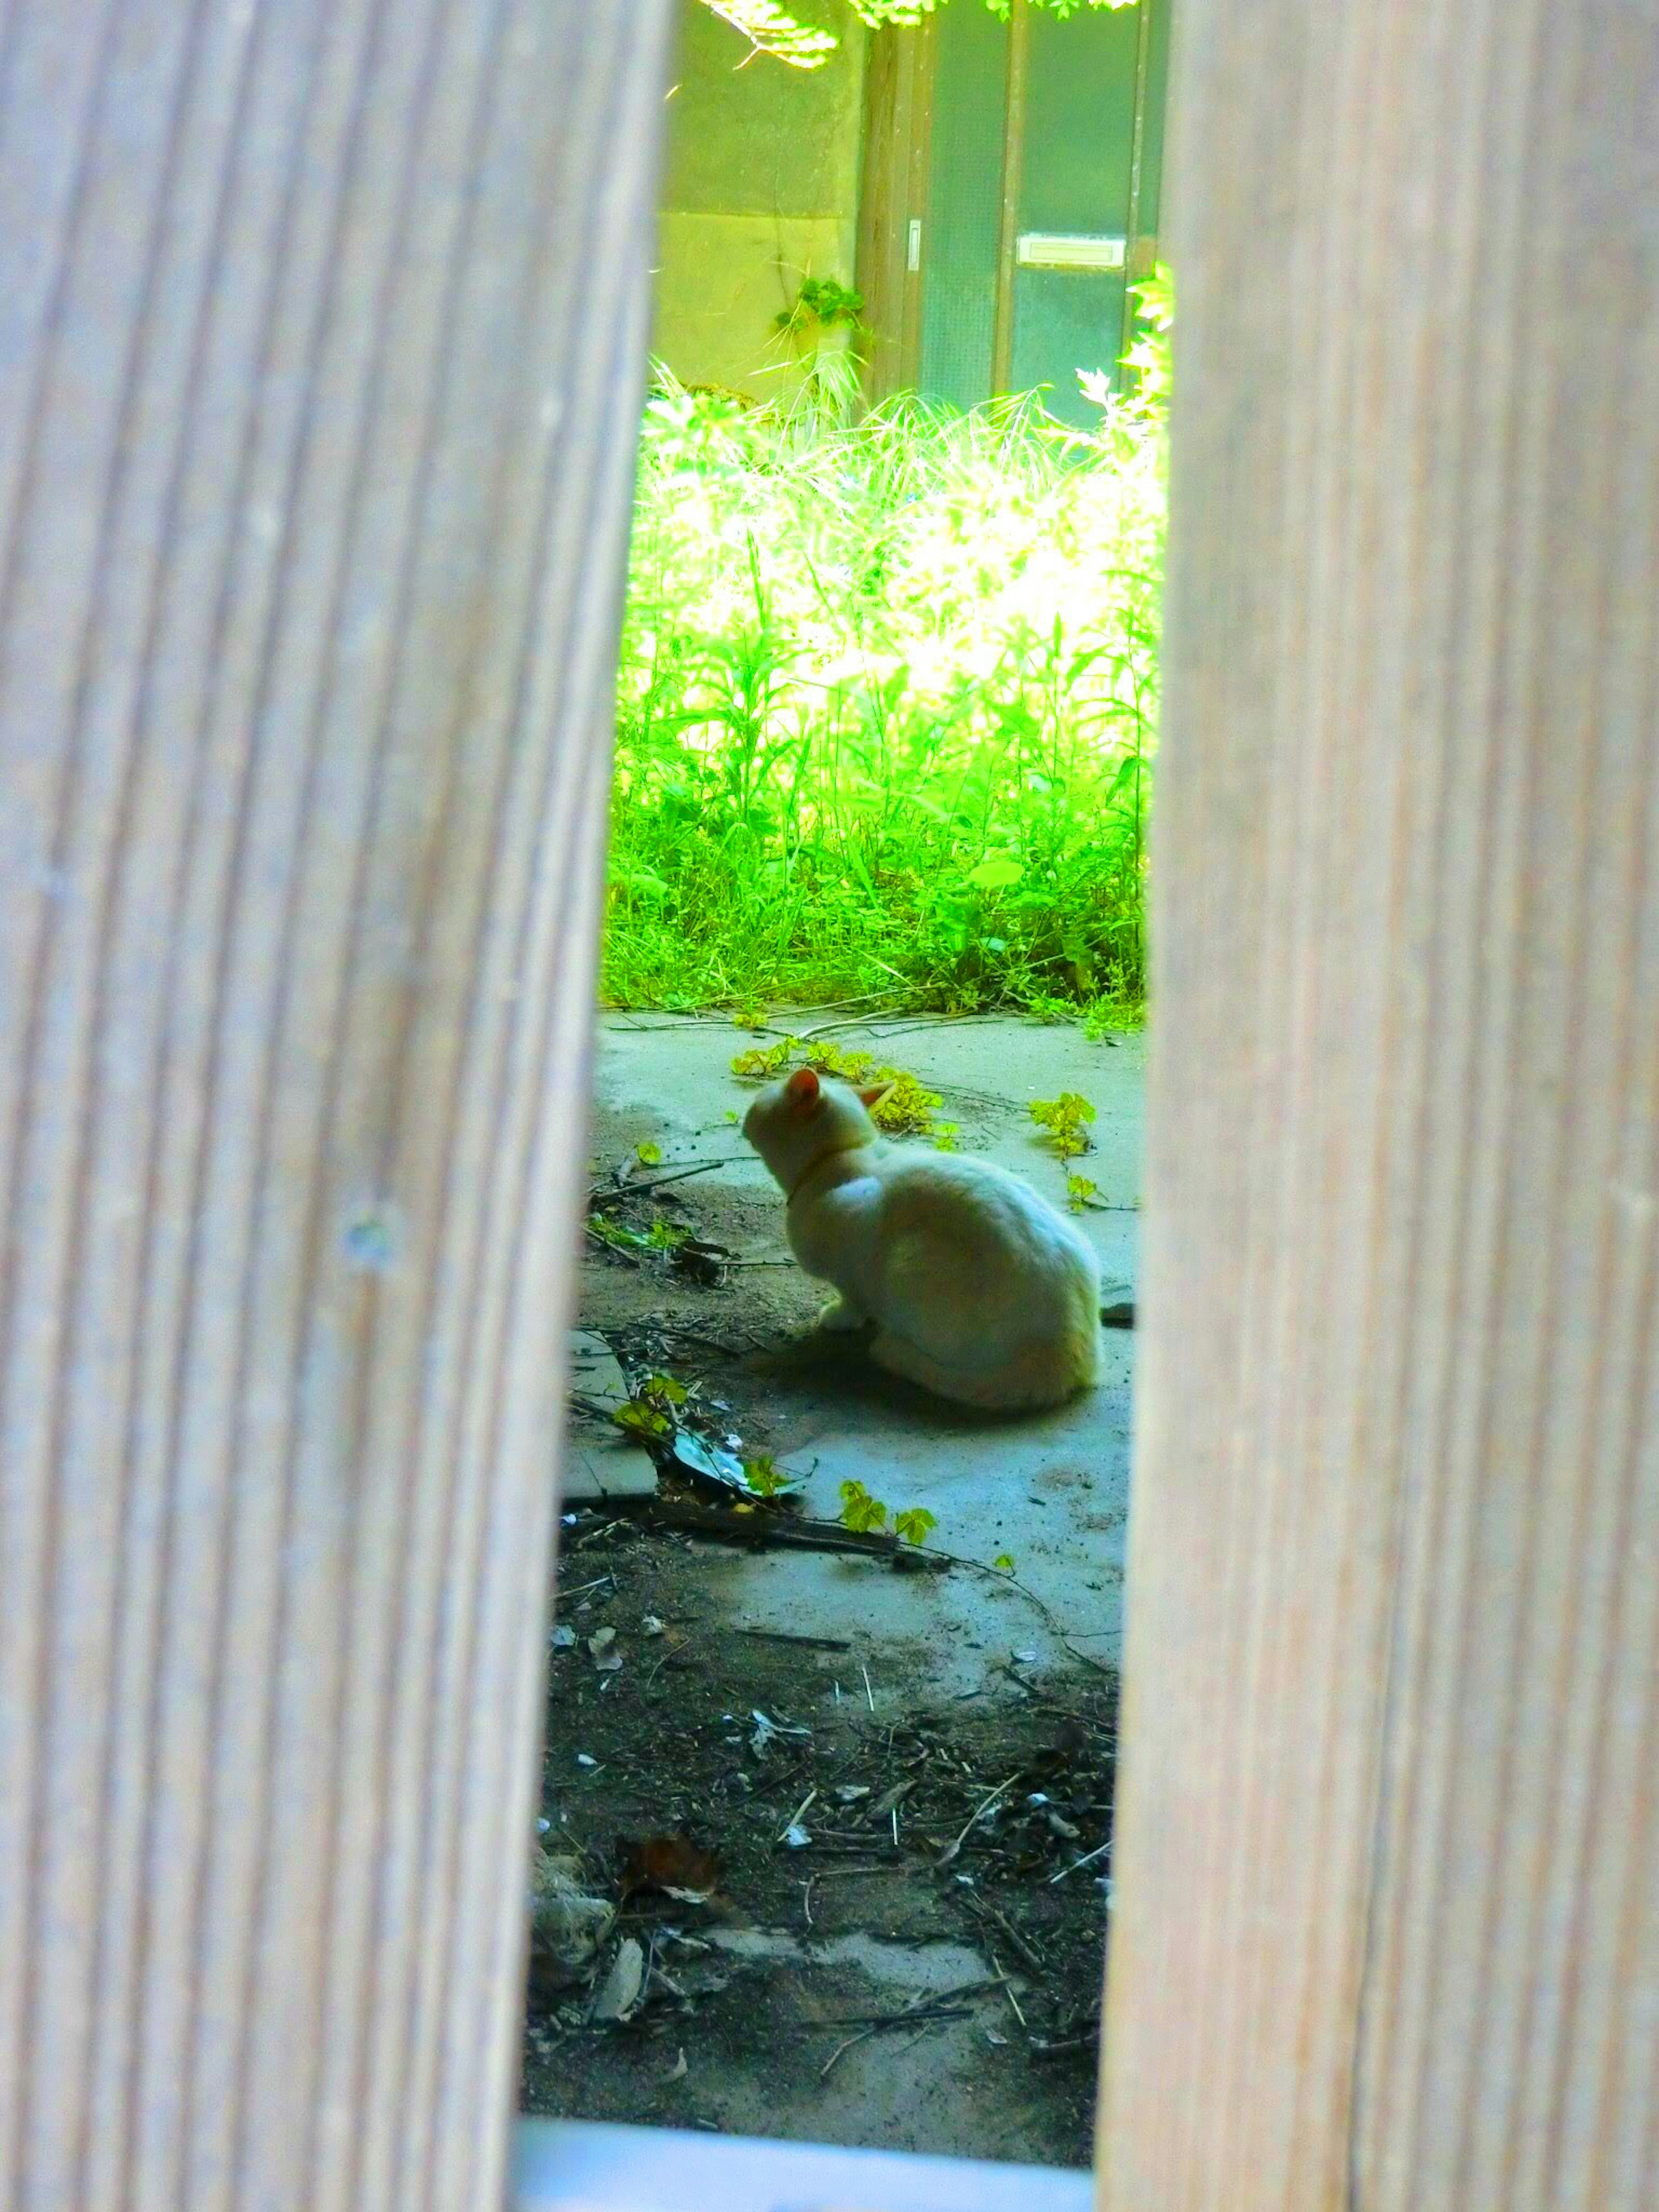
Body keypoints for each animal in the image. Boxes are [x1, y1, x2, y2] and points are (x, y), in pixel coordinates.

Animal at [743, 1062, 1106, 1407]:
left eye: (757, 1103)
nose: (745, 1121)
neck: (835, 1157)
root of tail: (1068, 1352)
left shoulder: (856, 1212)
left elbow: (853, 1296)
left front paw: (841, 1316)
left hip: (908, 1263)